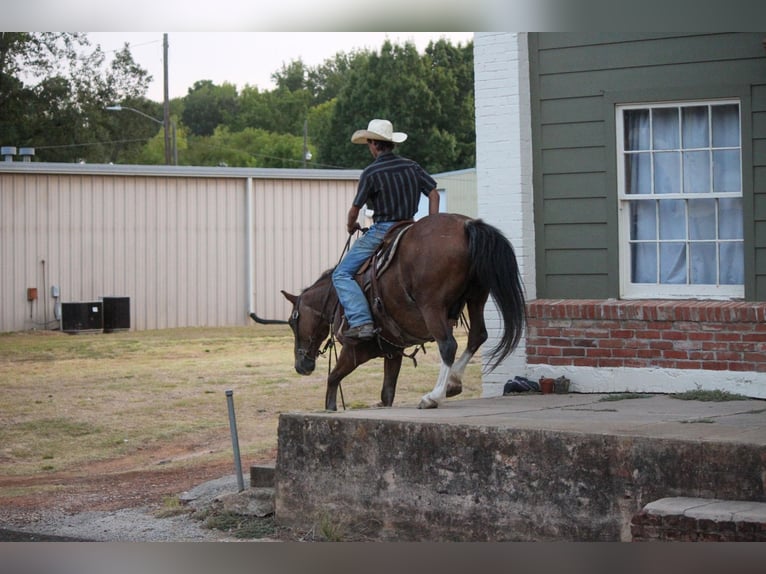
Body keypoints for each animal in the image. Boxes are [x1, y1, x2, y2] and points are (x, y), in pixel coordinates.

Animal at [282, 214, 528, 412]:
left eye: (293, 322)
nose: (301, 366)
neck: (335, 296)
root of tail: (467, 225)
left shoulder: (354, 351)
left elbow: (333, 379)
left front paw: (331, 407)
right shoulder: (394, 352)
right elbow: (387, 393)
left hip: (432, 306)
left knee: (448, 345)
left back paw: (433, 396)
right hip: (476, 297)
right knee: (477, 336)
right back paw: (453, 383)